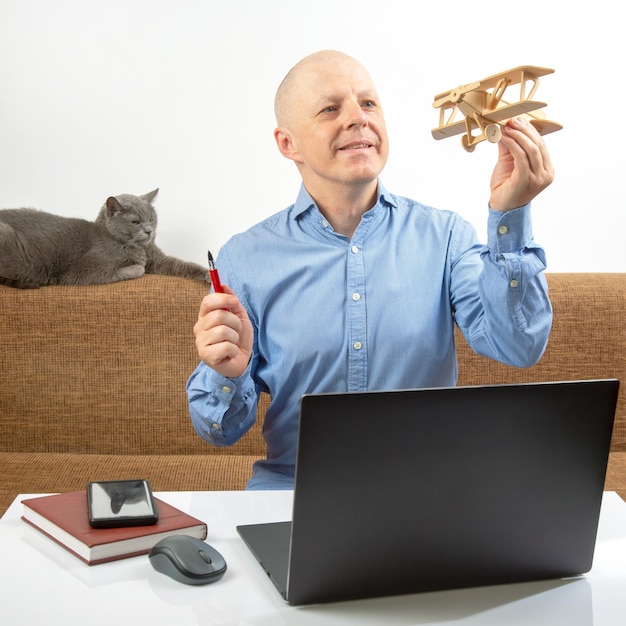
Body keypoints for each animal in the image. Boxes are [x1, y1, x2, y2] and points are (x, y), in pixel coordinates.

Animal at [0, 188, 210, 288]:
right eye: (135, 222)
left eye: (152, 218)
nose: (149, 231)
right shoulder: (83, 271)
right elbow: (136, 270)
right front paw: (136, 266)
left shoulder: (158, 259)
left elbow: (183, 265)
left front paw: (208, 274)